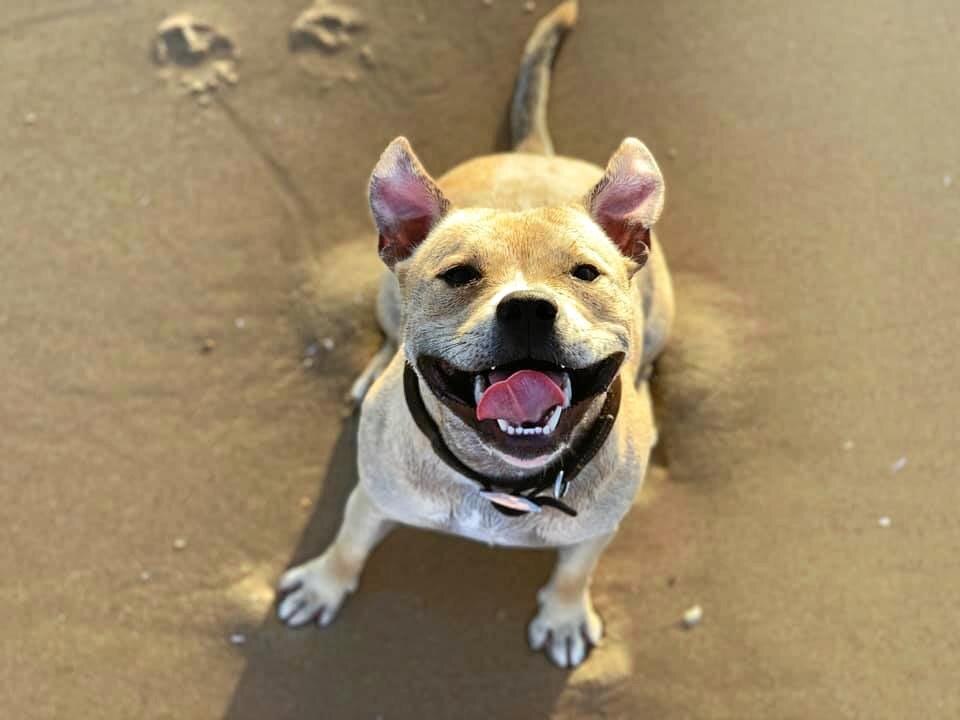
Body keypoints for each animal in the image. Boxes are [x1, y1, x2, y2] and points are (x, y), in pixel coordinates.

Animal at [274, 0, 672, 668]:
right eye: (458, 275)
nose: (528, 308)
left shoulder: (596, 529)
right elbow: (350, 542)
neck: (502, 479)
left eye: (585, 272)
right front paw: (325, 584)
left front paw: (564, 616)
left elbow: (574, 570)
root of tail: (535, 149)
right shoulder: (371, 497)